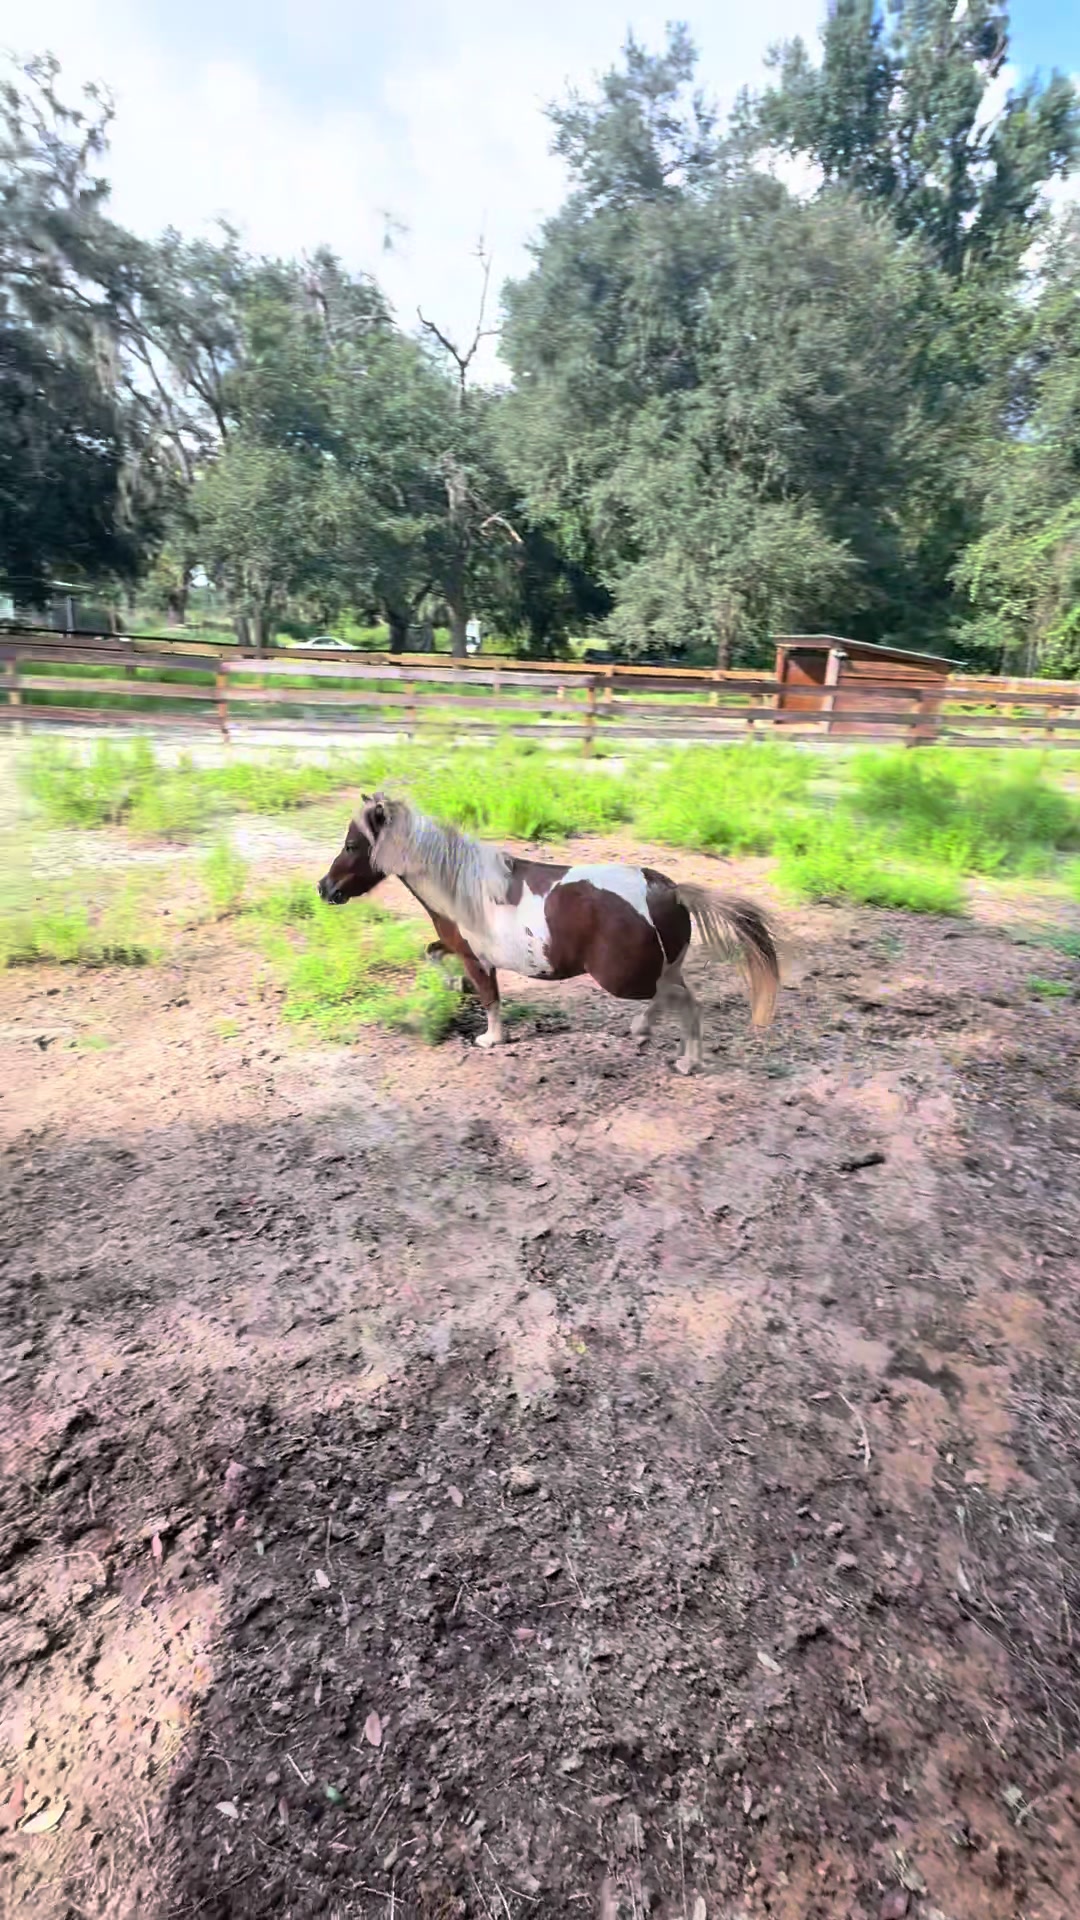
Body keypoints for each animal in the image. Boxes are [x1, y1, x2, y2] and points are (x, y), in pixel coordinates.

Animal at [317, 794, 779, 1074]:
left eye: (353, 845)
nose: (325, 888)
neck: (463, 886)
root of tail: (670, 890)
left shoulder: (477, 959)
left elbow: (490, 999)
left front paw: (490, 1039)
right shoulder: (456, 947)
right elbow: (432, 955)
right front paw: (453, 988)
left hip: (623, 977)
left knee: (683, 1002)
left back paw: (679, 1056)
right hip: (661, 969)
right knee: (675, 999)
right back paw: (654, 1038)